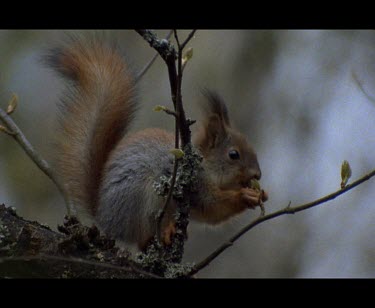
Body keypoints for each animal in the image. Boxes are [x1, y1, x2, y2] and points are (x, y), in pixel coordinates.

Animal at [47, 37, 268, 250]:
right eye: (233, 155)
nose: (257, 175)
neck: (204, 164)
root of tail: (104, 218)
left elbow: (213, 215)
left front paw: (261, 195)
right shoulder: (195, 182)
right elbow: (213, 205)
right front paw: (245, 196)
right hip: (143, 200)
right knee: (142, 238)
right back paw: (164, 232)